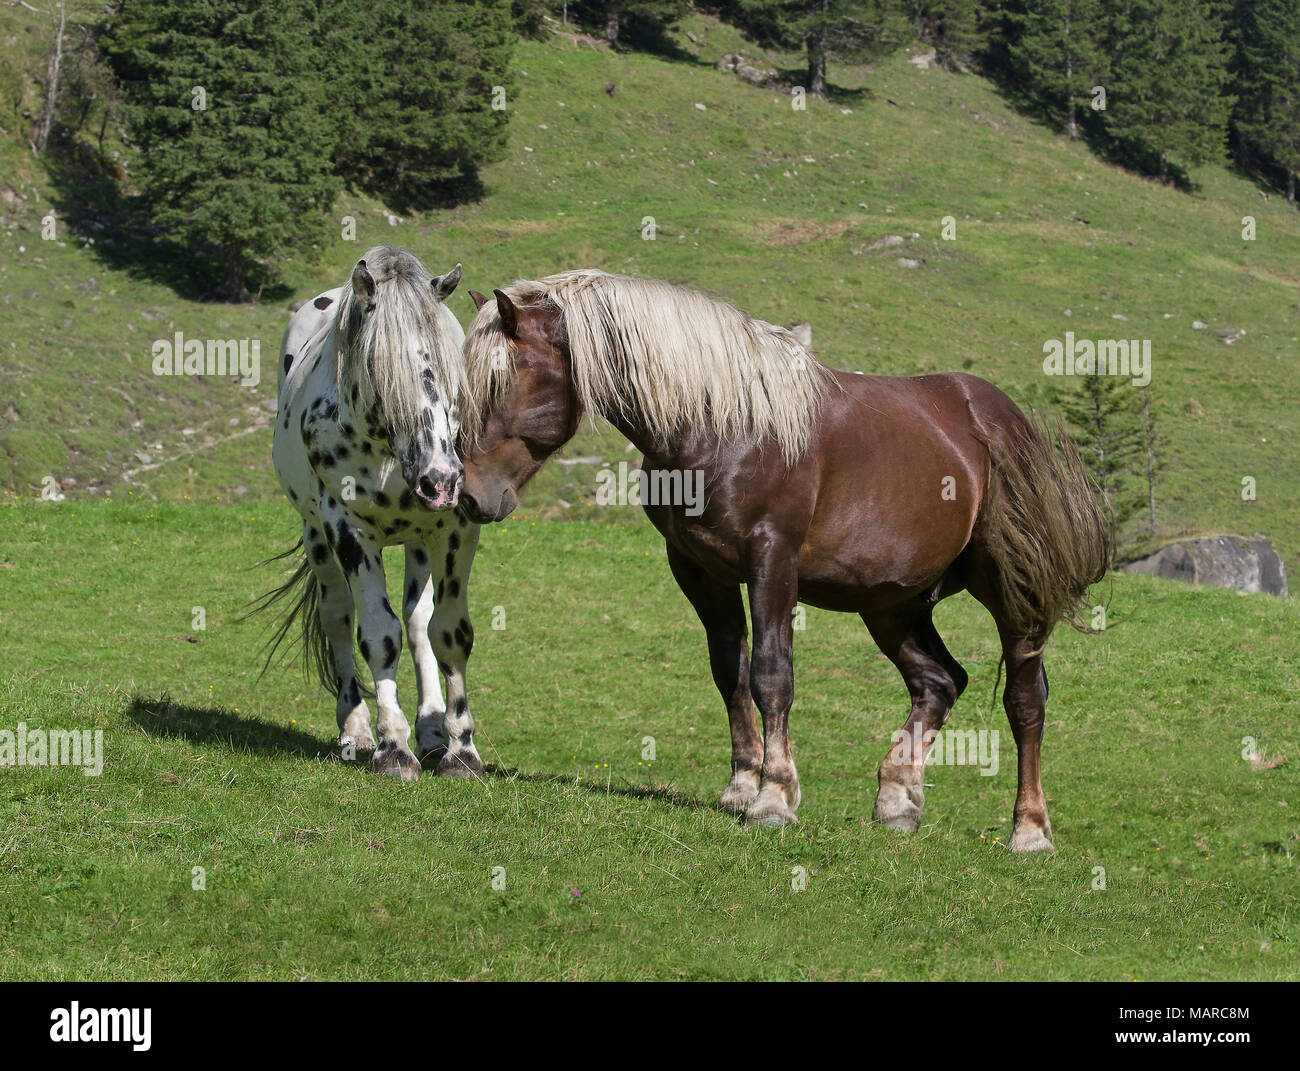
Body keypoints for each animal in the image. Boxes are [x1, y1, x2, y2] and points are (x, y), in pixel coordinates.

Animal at [457, 271, 1107, 847]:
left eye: (503, 380)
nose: (470, 495)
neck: (721, 422)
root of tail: (1003, 421)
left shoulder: (772, 561)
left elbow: (772, 674)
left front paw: (774, 797)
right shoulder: (699, 570)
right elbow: (730, 670)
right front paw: (742, 786)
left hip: (1009, 589)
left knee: (1025, 701)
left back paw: (1029, 830)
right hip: (892, 604)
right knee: (939, 683)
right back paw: (898, 799)